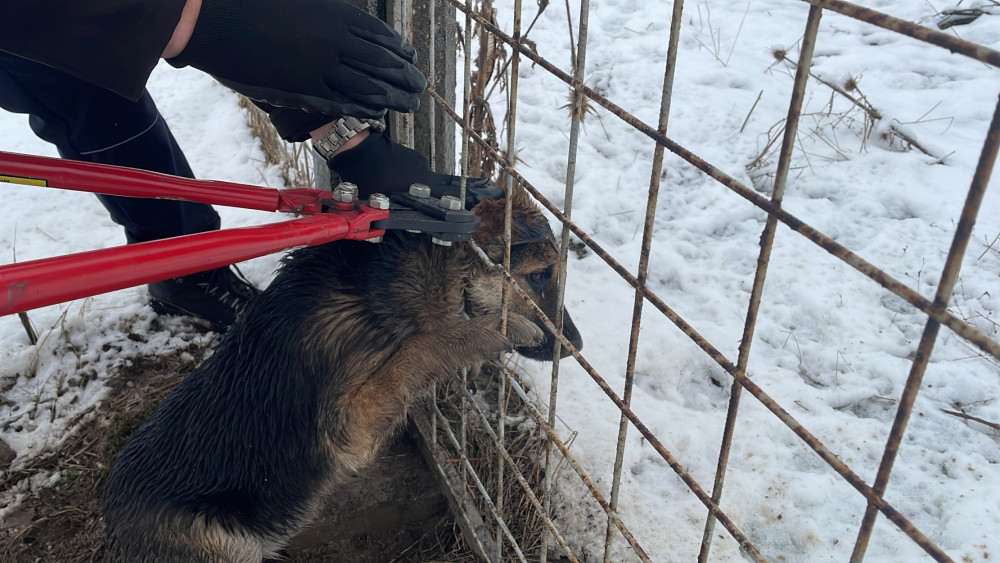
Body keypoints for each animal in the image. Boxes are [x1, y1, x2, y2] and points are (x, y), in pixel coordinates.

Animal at [99, 183, 584, 560]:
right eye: (541, 275)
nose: (576, 349)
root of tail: (111, 522)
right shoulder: (350, 426)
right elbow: (422, 348)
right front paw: (495, 330)